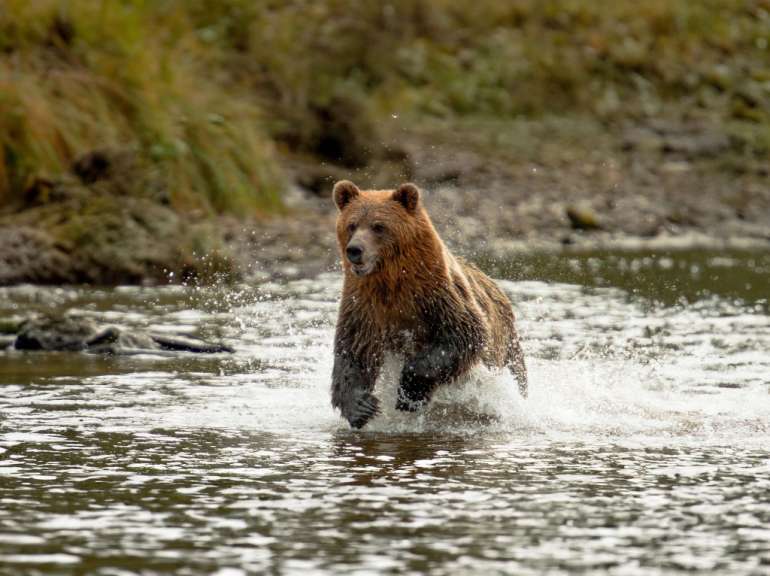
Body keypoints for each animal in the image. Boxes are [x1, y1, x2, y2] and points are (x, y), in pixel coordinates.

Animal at [330, 180, 527, 429]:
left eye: (378, 226)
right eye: (352, 225)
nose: (355, 250)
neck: (392, 282)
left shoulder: (438, 294)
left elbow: (463, 335)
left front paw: (409, 393)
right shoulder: (364, 306)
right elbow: (354, 351)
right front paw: (361, 407)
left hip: (508, 348)